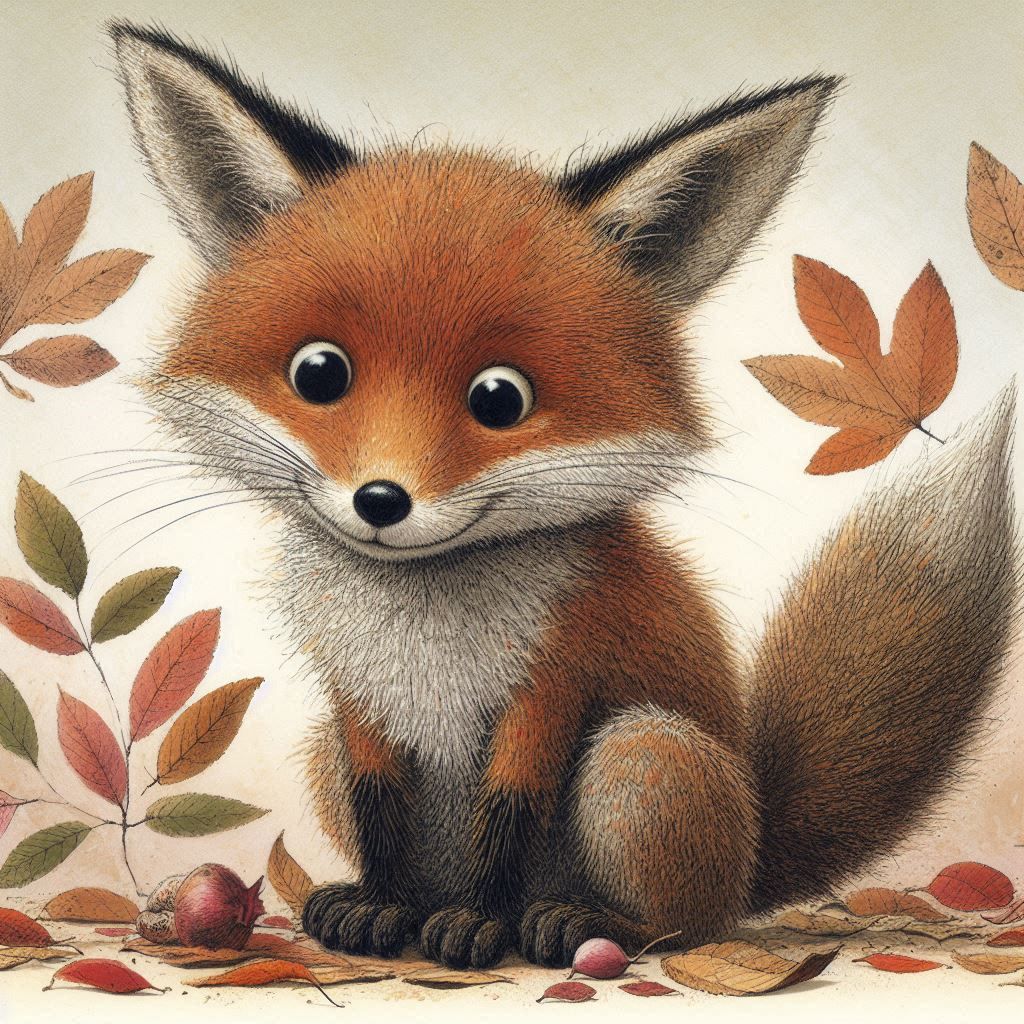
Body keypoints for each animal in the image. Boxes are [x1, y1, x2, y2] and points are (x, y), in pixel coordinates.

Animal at [109, 22, 1017, 970]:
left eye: (500, 398)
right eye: (318, 373)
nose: (382, 501)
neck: (423, 622)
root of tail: (754, 846)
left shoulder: (558, 677)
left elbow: (510, 811)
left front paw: (479, 924)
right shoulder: (358, 699)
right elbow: (381, 809)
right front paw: (384, 908)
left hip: (641, 755)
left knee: (684, 920)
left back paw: (576, 922)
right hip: (330, 751)